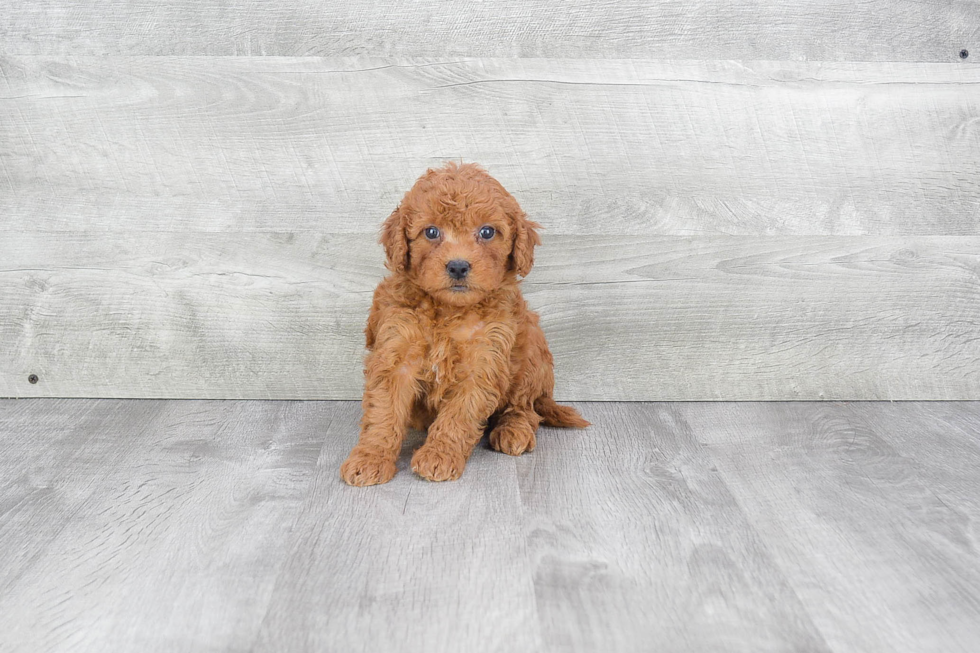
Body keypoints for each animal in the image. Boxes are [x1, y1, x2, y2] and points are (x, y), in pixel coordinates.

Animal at [342, 161, 588, 484]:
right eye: (431, 232)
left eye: (487, 232)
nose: (458, 266)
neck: (448, 311)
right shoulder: (395, 351)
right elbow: (383, 412)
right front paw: (370, 458)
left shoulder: (484, 360)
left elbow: (459, 414)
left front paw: (439, 455)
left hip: (532, 350)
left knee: (525, 408)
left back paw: (513, 430)